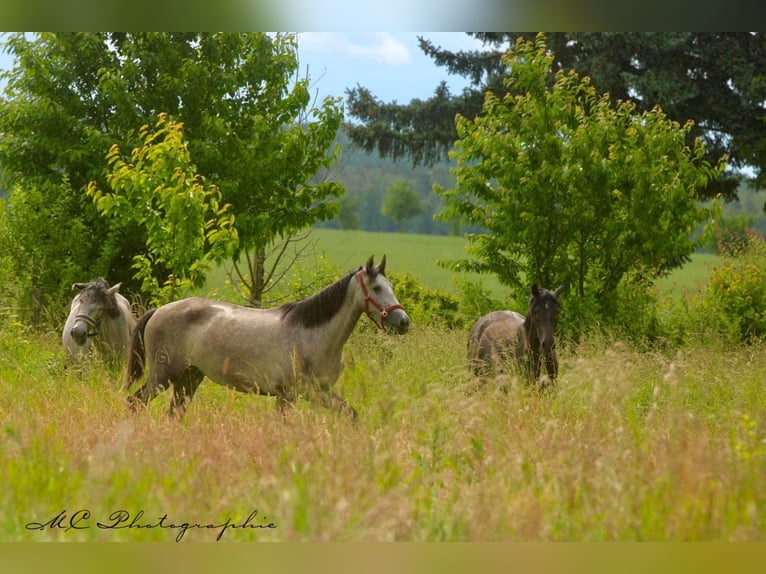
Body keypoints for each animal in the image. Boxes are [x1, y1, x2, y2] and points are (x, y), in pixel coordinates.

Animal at [124, 255, 410, 419]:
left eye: (390, 287)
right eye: (376, 288)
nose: (403, 321)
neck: (312, 335)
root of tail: (159, 310)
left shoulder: (317, 392)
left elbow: (351, 414)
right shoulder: (293, 394)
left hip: (189, 378)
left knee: (173, 413)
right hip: (163, 376)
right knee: (134, 403)